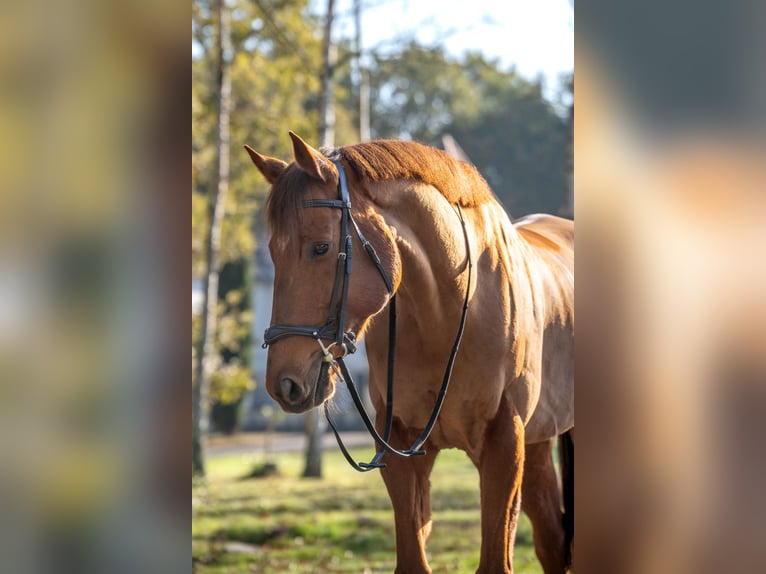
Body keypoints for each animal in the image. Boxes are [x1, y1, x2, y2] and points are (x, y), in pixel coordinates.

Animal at [246, 133, 576, 572]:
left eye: (320, 247)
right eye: (273, 252)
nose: (284, 383)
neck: (447, 313)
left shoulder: (504, 441)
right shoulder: (402, 444)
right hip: (538, 443)